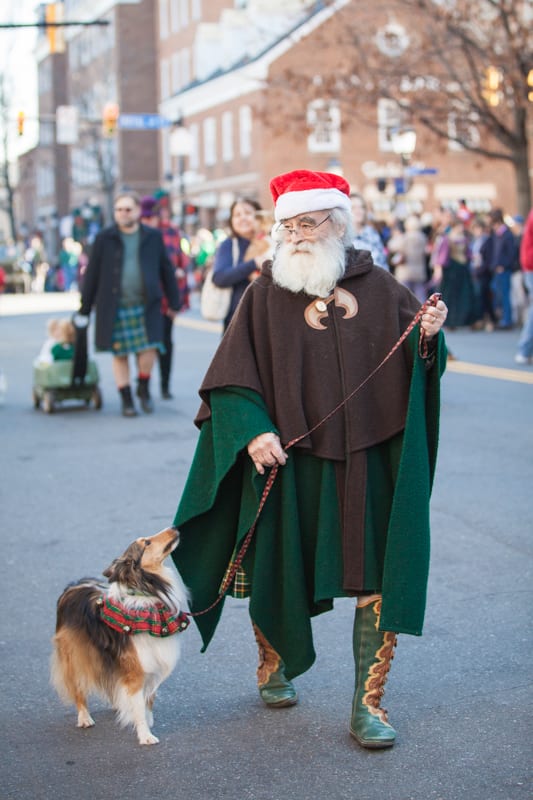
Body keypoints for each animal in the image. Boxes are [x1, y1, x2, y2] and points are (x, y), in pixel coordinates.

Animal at [50, 524, 190, 744]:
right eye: (147, 542)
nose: (175, 527)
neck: (147, 593)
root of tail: (73, 586)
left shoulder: (152, 662)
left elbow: (148, 699)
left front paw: (147, 720)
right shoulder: (136, 668)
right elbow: (139, 705)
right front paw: (145, 736)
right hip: (75, 655)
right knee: (78, 687)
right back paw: (84, 717)